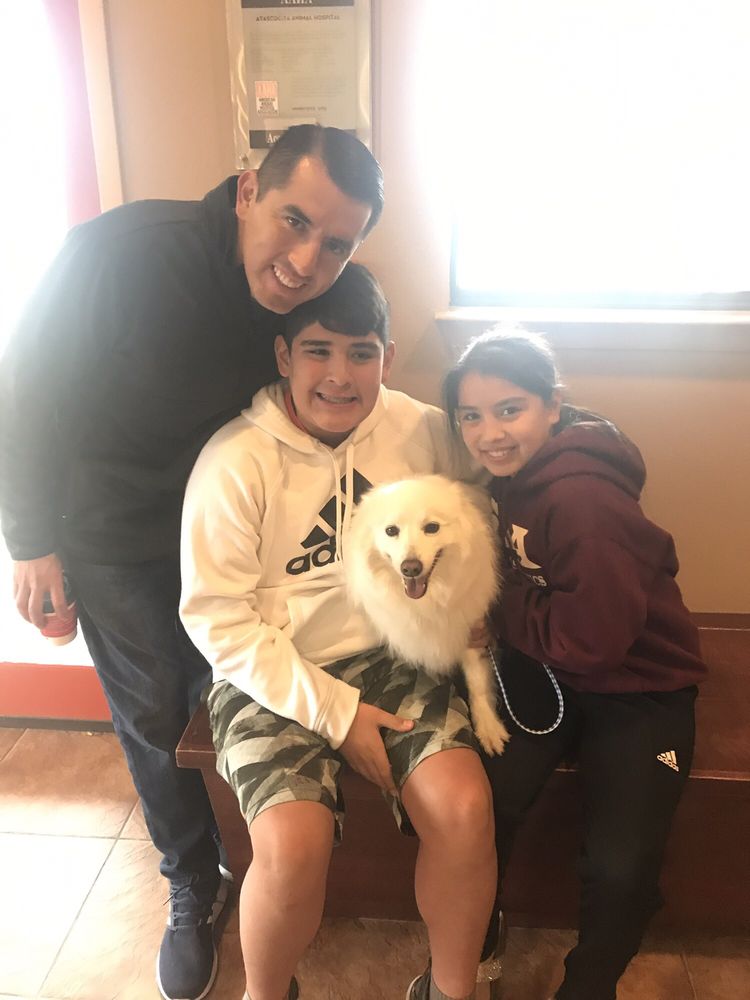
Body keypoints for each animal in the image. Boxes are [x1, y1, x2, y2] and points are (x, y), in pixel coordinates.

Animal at [346, 474, 509, 755]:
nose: (410, 568)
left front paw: (488, 727)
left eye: (432, 527)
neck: (430, 600)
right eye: (391, 531)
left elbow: (478, 682)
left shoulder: (471, 629)